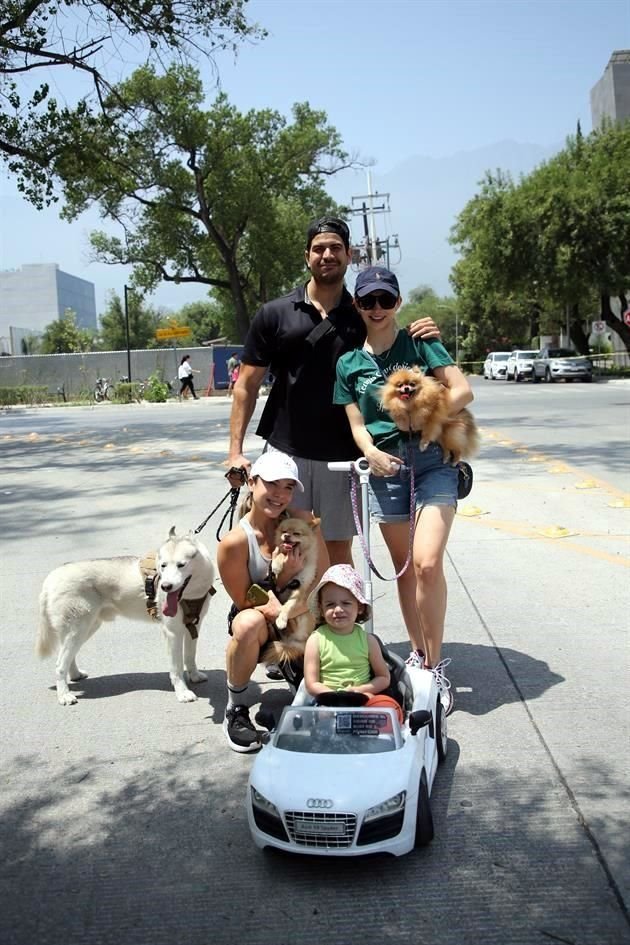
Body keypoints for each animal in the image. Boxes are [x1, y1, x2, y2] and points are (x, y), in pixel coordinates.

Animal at [39, 528, 218, 704]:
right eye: (163, 566)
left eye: (181, 565)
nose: (165, 586)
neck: (192, 592)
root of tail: (52, 576)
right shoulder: (173, 632)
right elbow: (177, 667)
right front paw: (182, 692)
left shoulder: (193, 626)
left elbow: (190, 656)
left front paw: (194, 676)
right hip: (78, 630)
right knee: (59, 664)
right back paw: (64, 695)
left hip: (86, 629)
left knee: (67, 656)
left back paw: (75, 675)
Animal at [262, 516, 320, 664]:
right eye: (284, 531)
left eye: (296, 534)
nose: (287, 536)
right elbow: (279, 556)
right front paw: (277, 564)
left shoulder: (300, 590)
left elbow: (288, 606)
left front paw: (282, 619)